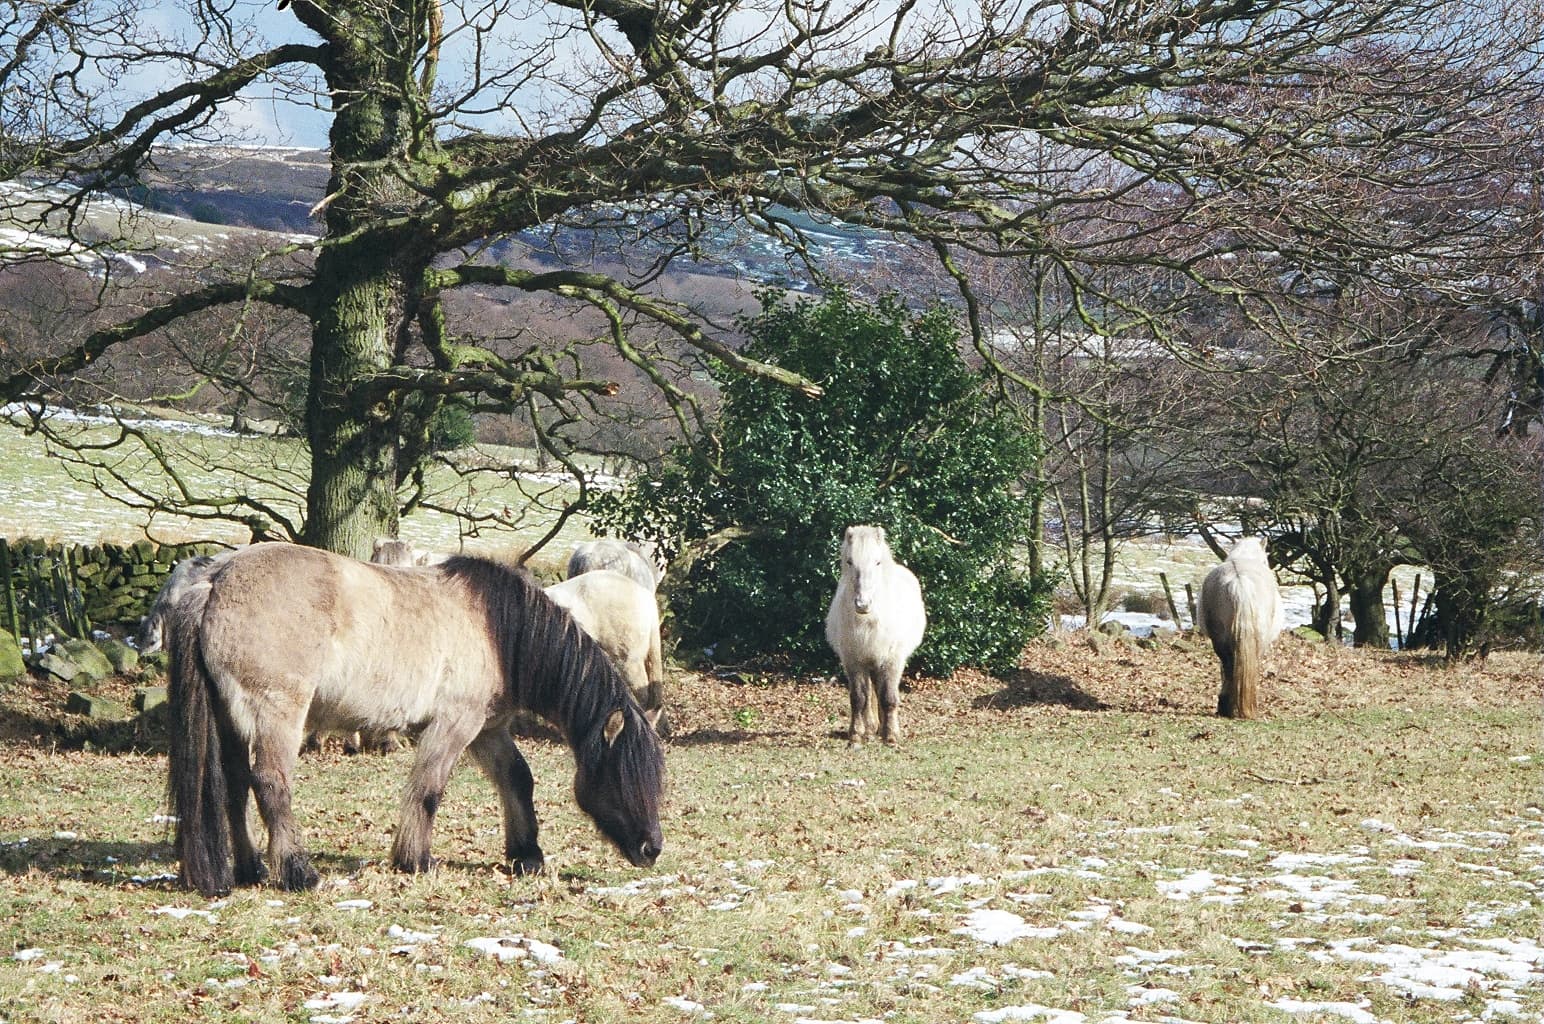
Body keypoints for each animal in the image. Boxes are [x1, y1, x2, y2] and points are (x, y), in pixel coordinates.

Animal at [825, 525, 926, 748]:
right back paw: (871, 729)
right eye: (849, 561)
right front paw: (855, 736)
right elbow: (858, 698)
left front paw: (891, 736)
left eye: (877, 562)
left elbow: (888, 697)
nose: (863, 604)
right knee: (870, 694)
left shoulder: (892, 661)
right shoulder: (854, 661)